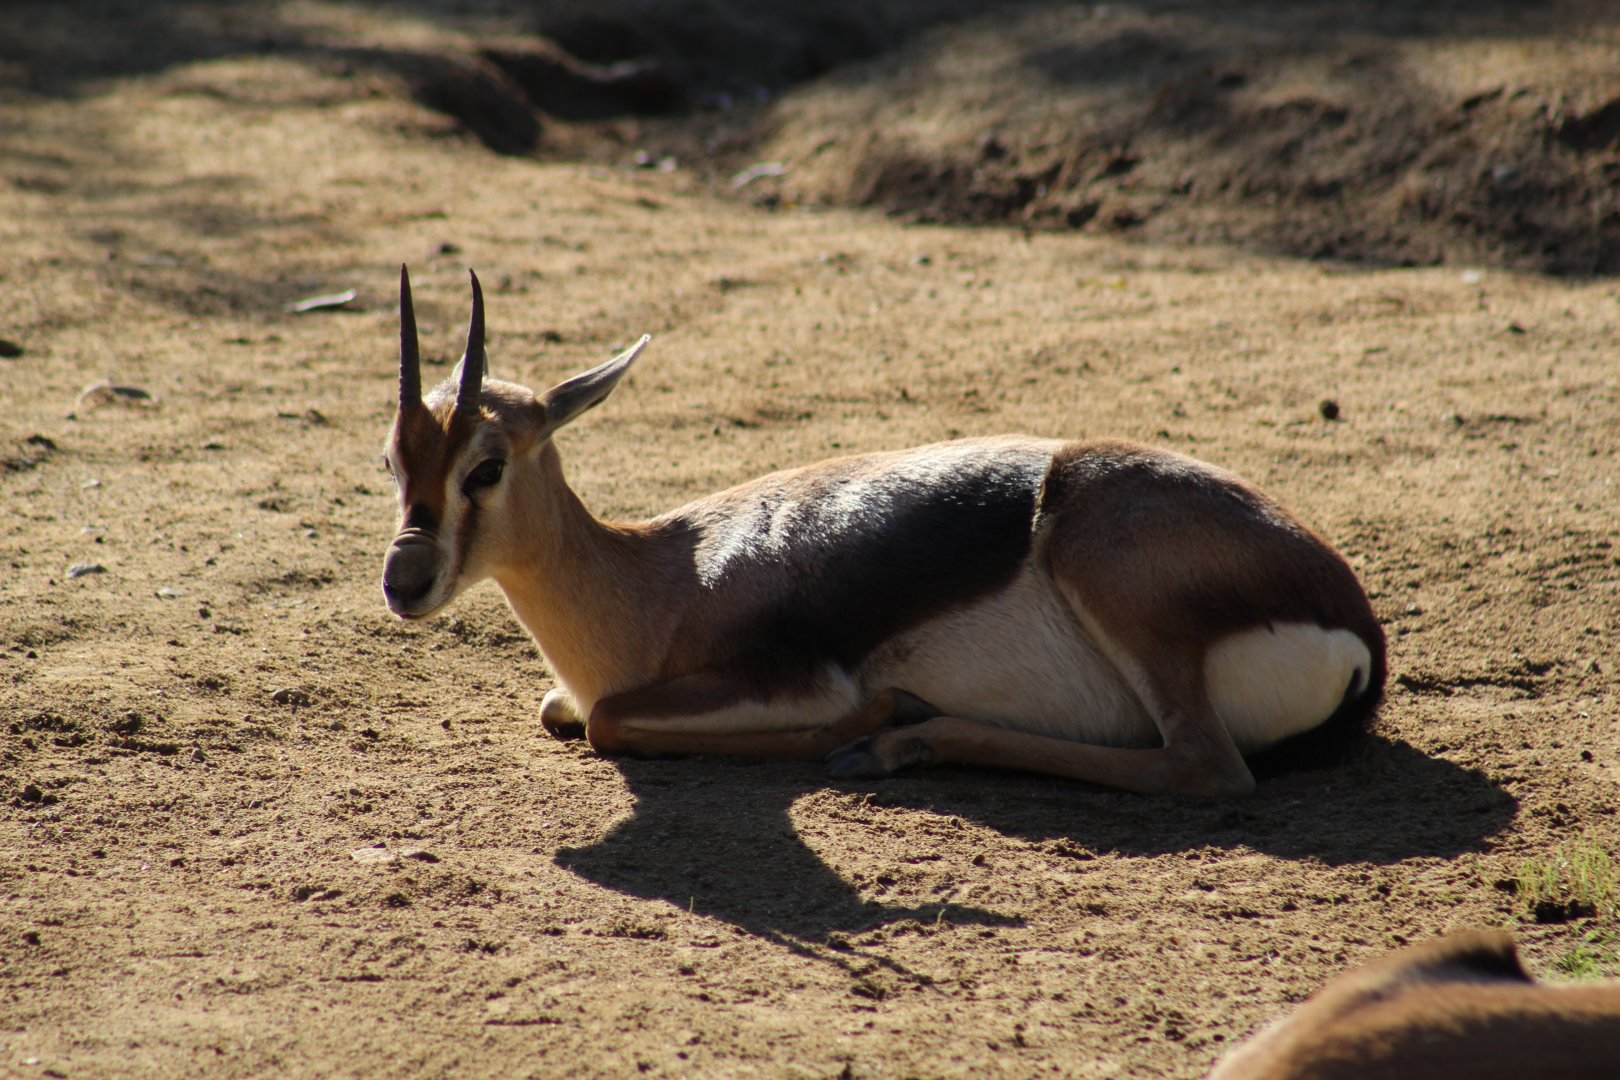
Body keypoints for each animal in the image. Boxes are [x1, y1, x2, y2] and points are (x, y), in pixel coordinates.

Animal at [380, 267, 1385, 797]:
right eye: (393, 459)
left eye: (486, 465)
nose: (404, 580)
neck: (658, 579)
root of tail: (1358, 628)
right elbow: (567, 711)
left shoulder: (788, 680)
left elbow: (609, 722)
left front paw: (869, 721)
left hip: (1111, 578)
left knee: (1206, 767)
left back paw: (901, 738)